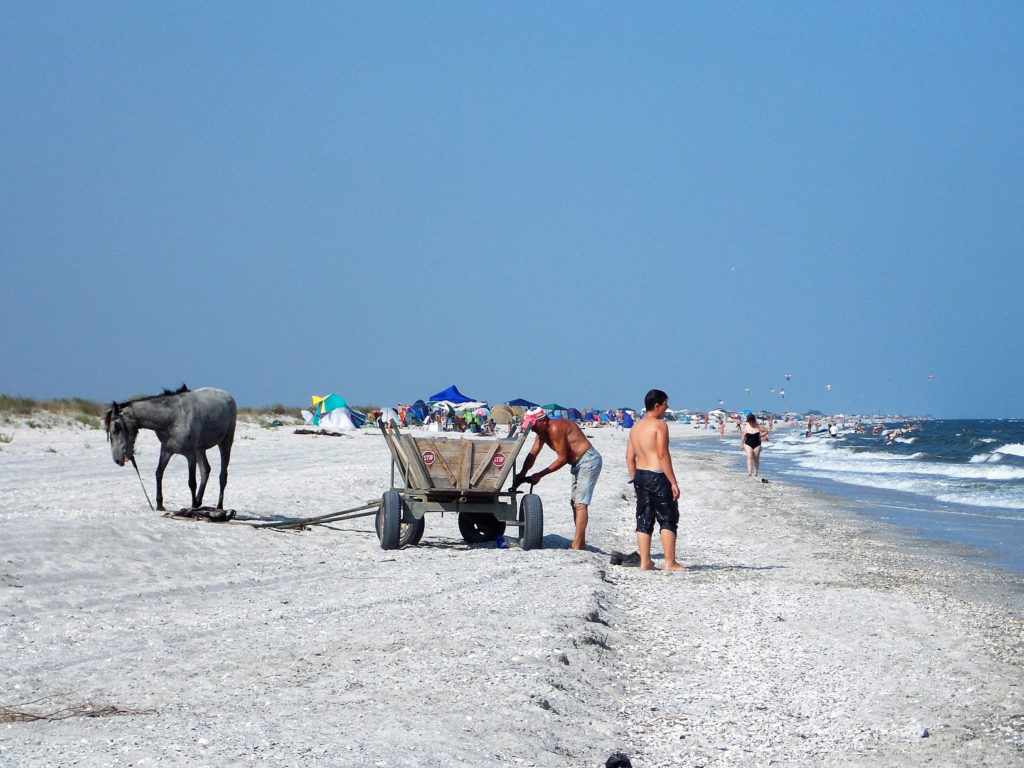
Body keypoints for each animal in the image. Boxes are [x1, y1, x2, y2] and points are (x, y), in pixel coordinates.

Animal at [105, 385, 237, 512]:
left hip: (225, 443)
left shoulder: (190, 454)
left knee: (222, 476)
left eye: (117, 428)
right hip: (200, 449)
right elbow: (159, 473)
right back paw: (199, 502)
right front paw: (159, 505)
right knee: (205, 470)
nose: (117, 459)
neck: (172, 417)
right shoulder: (166, 450)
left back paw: (218, 506)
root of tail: (227, 396)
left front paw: (192, 508)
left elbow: (192, 482)